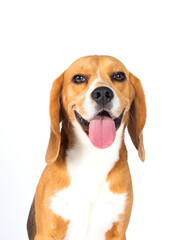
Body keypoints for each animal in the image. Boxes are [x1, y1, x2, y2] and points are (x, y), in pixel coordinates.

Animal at [27, 55, 147, 239]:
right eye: (78, 78)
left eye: (119, 76)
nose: (103, 93)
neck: (93, 156)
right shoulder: (45, 232)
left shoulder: (118, 232)